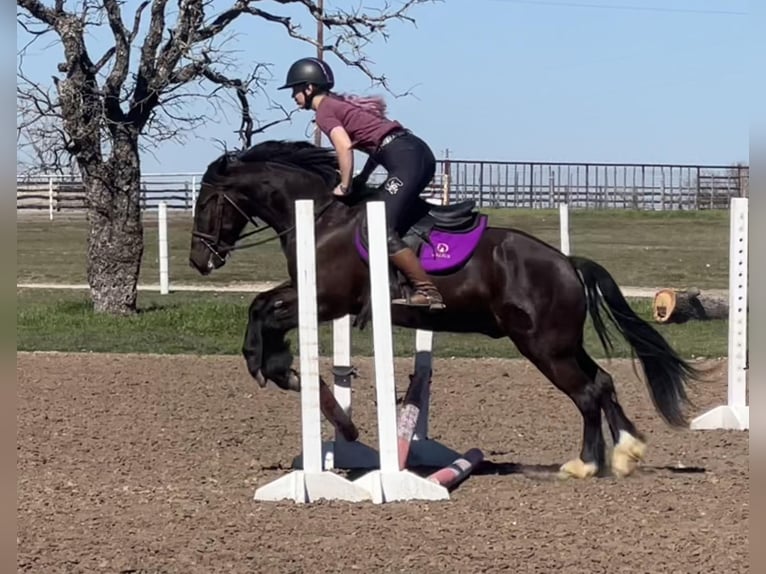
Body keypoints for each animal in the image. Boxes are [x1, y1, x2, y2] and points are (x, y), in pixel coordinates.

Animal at [189, 140, 700, 482]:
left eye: (208, 200)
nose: (198, 260)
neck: (320, 215)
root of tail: (568, 263)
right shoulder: (309, 294)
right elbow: (260, 304)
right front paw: (276, 367)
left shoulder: (327, 300)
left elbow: (267, 312)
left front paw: (278, 370)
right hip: (560, 343)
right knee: (603, 382)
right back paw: (625, 452)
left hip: (544, 347)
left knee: (588, 392)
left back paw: (586, 464)